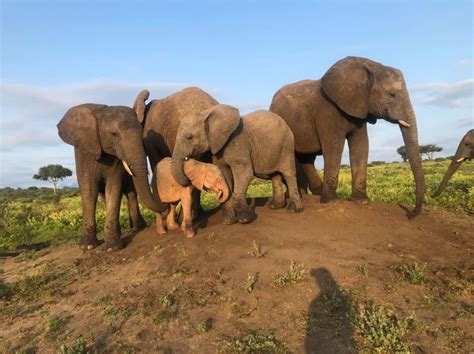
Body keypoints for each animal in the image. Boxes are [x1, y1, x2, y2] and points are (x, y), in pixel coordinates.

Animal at [57, 103, 168, 250]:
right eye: (114, 134)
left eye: (141, 132)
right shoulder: (84, 153)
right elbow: (89, 190)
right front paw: (87, 246)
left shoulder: (116, 161)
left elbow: (113, 187)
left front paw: (112, 247)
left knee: (131, 193)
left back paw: (138, 228)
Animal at [171, 103, 304, 224]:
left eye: (189, 137)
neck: (206, 113)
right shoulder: (218, 148)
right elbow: (224, 176)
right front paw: (228, 222)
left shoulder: (237, 143)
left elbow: (244, 173)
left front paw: (246, 220)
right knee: (274, 175)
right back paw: (275, 207)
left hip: (287, 146)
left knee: (288, 173)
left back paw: (293, 209)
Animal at [270, 56, 426, 217]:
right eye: (392, 94)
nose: (409, 214)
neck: (371, 67)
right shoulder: (328, 110)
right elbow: (334, 147)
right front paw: (332, 201)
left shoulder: (359, 110)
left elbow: (361, 146)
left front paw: (361, 201)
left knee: (307, 158)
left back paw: (316, 192)